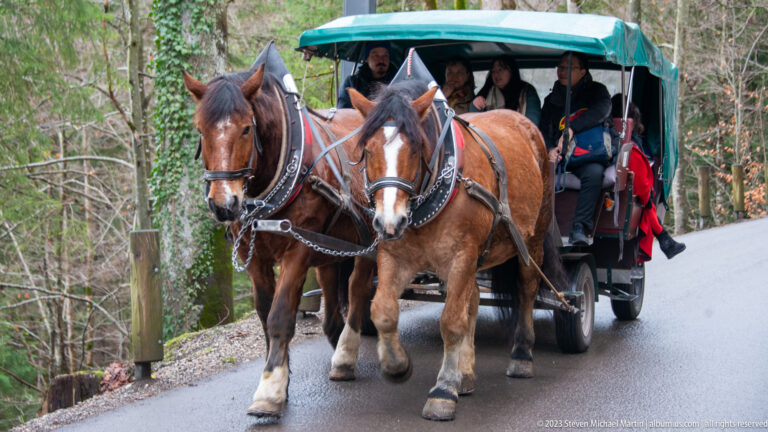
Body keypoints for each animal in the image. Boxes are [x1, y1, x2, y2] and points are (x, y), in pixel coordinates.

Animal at [183, 63, 376, 417]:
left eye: (246, 129)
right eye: (200, 130)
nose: (223, 204)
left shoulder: (296, 251)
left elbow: (280, 315)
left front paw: (270, 389)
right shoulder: (254, 257)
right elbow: (263, 315)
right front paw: (281, 379)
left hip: (371, 242)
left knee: (357, 290)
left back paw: (347, 353)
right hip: (329, 248)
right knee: (332, 310)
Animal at [348, 80, 566, 421]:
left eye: (416, 149)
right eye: (368, 150)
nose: (389, 222)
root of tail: (522, 120)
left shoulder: (462, 256)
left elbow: (451, 322)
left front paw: (443, 391)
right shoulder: (395, 256)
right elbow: (382, 311)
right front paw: (397, 365)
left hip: (531, 240)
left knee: (527, 288)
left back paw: (521, 355)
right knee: (473, 300)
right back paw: (465, 373)